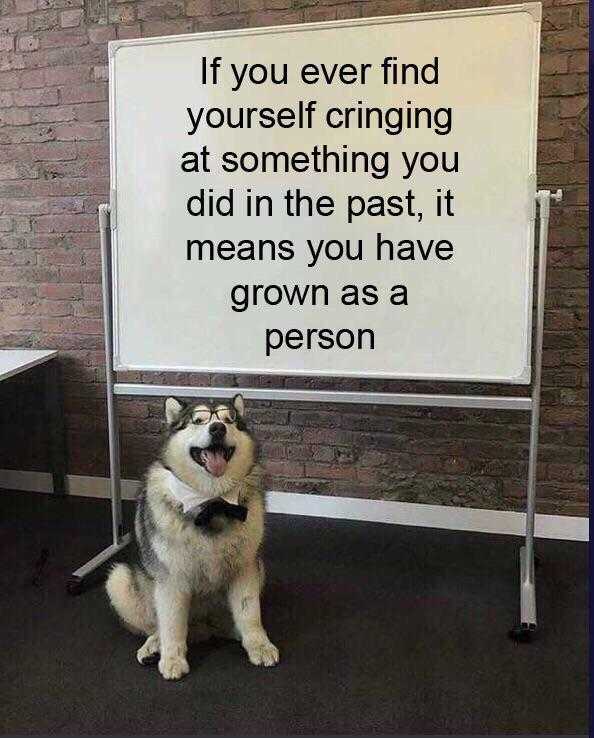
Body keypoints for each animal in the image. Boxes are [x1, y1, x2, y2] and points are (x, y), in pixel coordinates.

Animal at [105, 392, 278, 680]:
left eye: (229, 420)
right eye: (198, 420)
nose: (217, 428)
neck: (213, 501)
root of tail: (204, 628)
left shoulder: (246, 568)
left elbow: (250, 613)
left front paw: (259, 644)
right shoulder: (171, 580)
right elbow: (171, 624)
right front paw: (173, 659)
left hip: (259, 570)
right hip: (119, 580)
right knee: (155, 625)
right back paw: (154, 646)